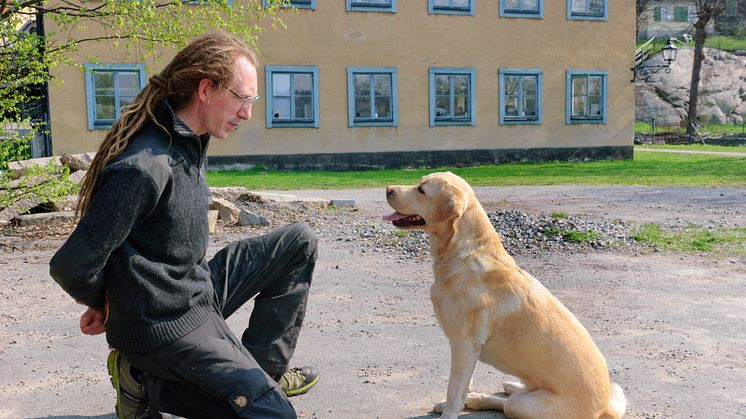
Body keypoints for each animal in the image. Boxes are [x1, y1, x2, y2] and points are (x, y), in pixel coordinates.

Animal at [384, 172, 620, 418]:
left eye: (421, 190)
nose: (388, 188)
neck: (462, 253)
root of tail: (604, 408)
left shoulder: (464, 345)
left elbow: (455, 393)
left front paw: (450, 411)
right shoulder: (468, 351)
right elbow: (463, 387)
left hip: (524, 405)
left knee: (507, 403)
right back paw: (504, 388)